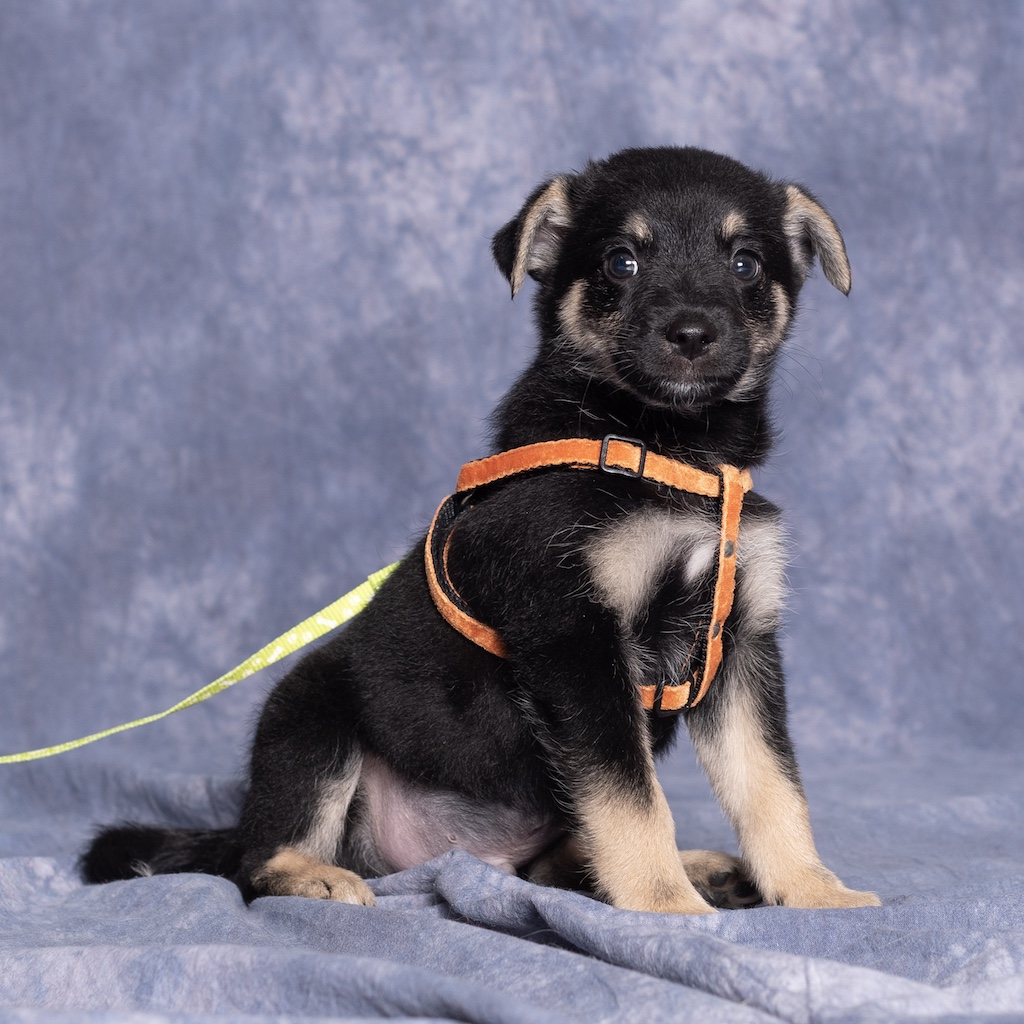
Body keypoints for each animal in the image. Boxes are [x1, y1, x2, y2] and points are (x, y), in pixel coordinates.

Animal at [81, 146, 880, 914]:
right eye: (621, 261)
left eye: (746, 263)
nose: (691, 334)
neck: (667, 450)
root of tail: (461, 857)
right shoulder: (574, 638)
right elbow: (631, 799)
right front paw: (666, 909)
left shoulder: (738, 643)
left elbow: (771, 787)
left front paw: (812, 891)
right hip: (308, 718)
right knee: (257, 861)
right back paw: (314, 878)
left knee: (559, 861)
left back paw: (705, 870)